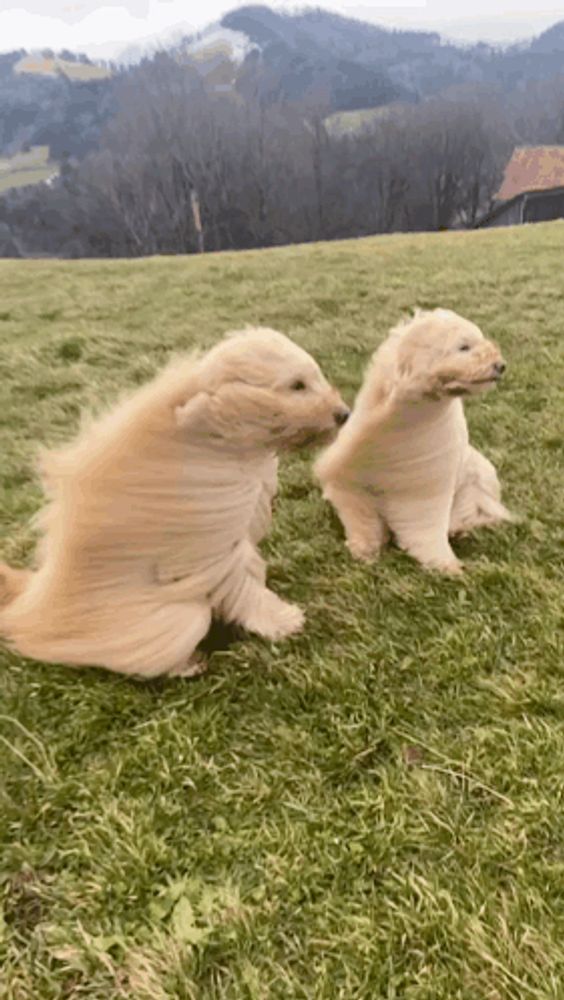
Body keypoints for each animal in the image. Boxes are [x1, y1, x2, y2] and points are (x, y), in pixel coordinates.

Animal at [0, 330, 348, 680]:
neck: (214, 428)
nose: (343, 414)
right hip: (177, 620)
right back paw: (189, 664)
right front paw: (283, 621)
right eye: (297, 385)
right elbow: (245, 586)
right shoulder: (216, 546)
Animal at [316, 312, 512, 580]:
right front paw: (364, 550)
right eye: (464, 347)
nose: (500, 365)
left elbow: (425, 529)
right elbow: (362, 521)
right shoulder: (353, 484)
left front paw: (446, 564)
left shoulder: (423, 487)